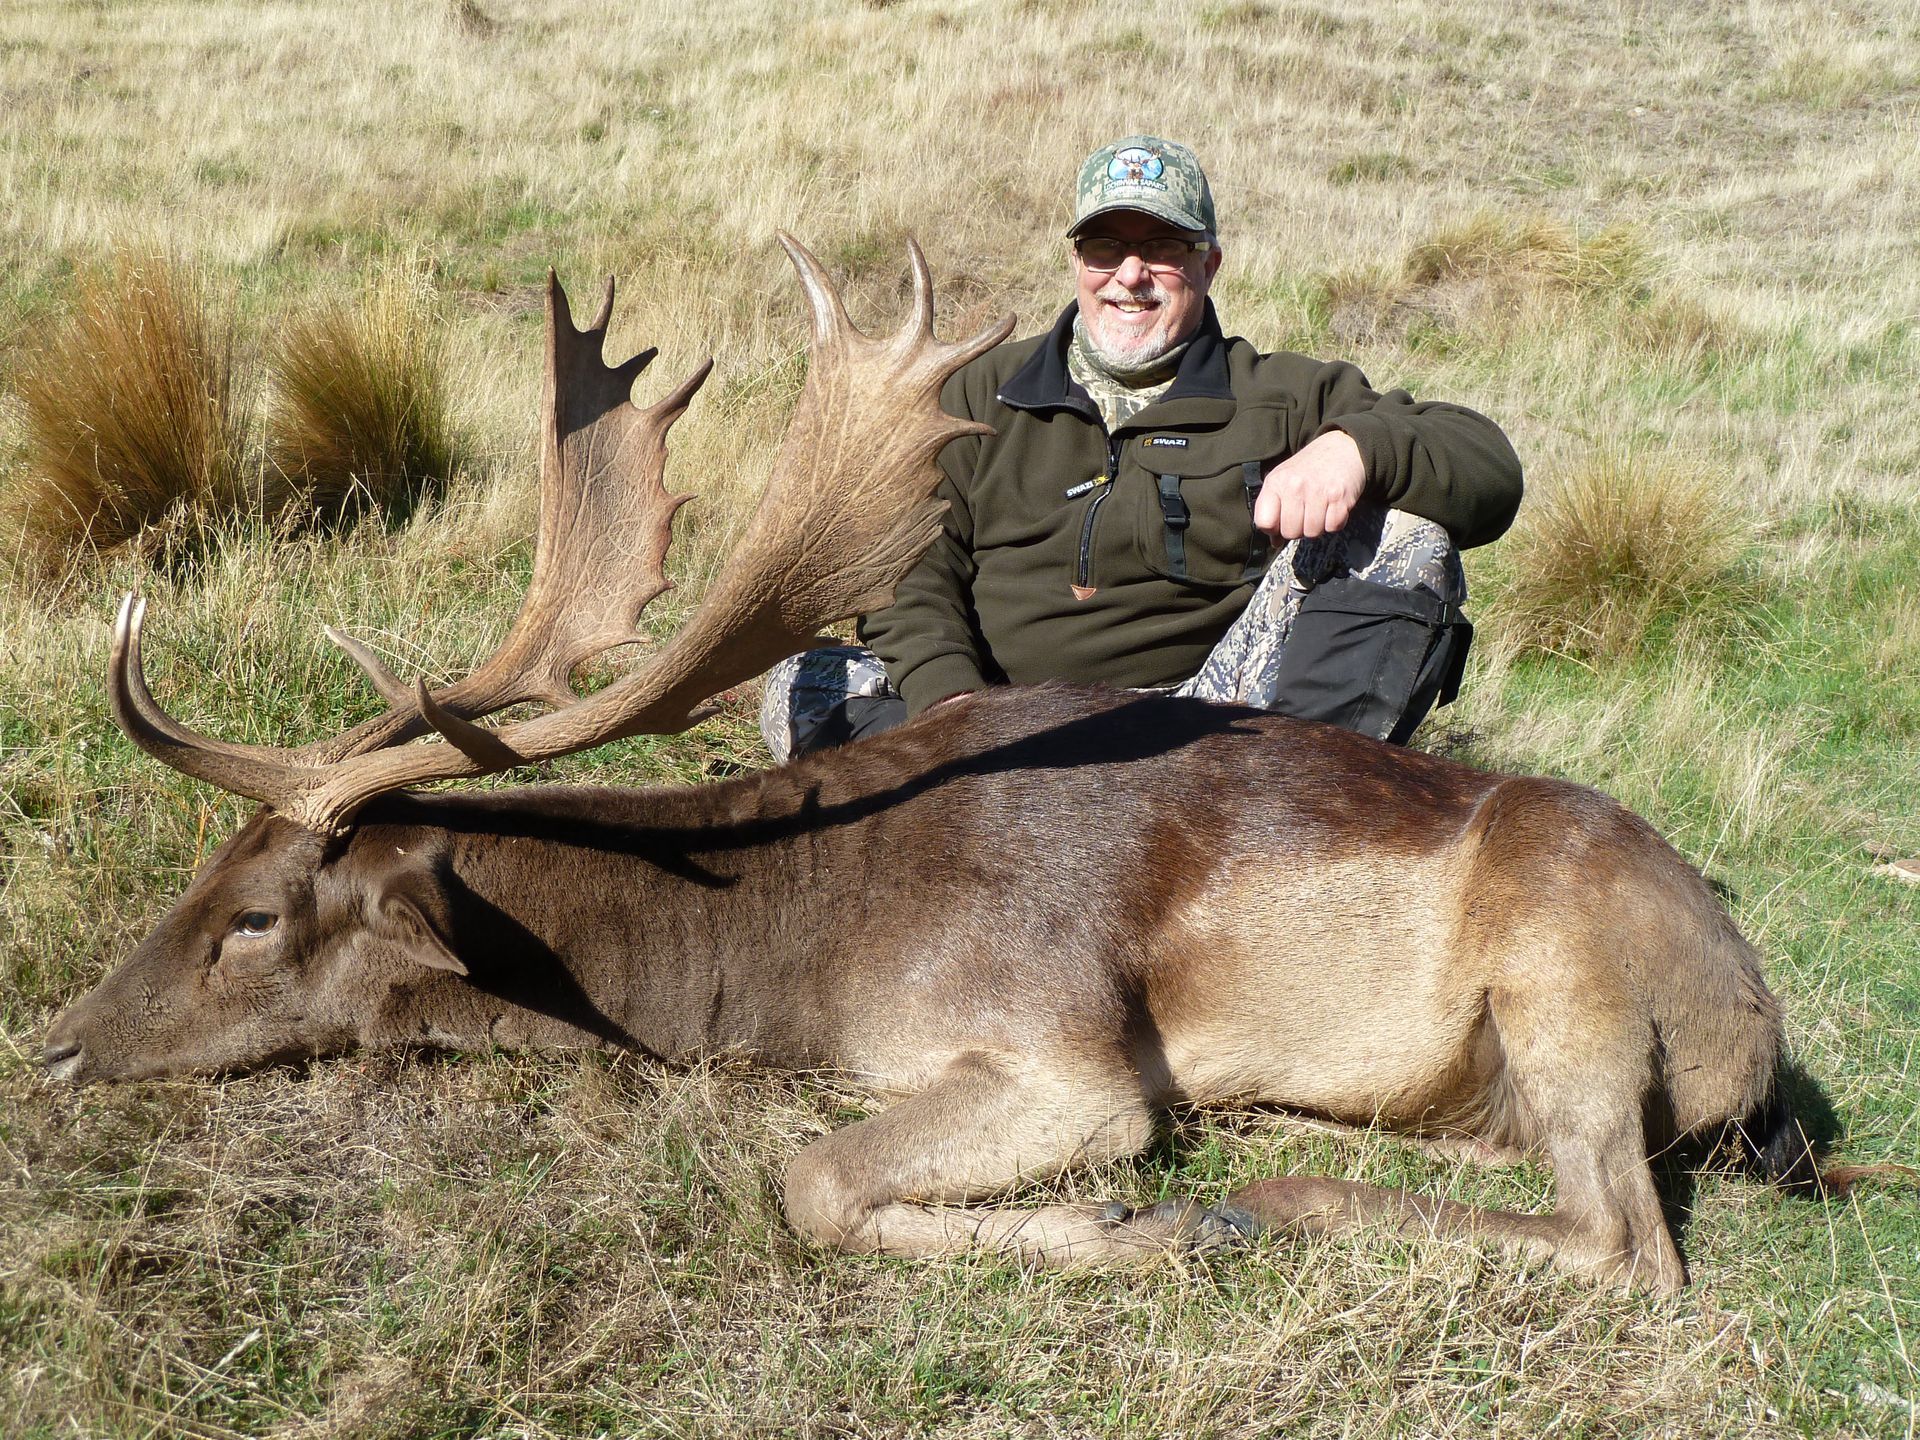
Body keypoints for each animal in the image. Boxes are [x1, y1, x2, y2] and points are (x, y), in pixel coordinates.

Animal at [39, 236, 1819, 1296]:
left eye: (257, 917)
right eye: (197, 874)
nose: (58, 1044)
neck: (804, 954)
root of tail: (1750, 1015)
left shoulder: (1064, 1054)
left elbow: (815, 1183)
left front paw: (1124, 1227)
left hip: (1568, 976)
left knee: (1631, 1246)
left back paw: (1273, 1202)